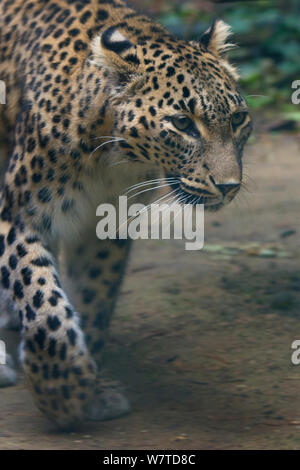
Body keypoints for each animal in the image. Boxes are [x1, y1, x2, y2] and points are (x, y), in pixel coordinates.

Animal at [0, 0, 253, 428]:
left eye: (238, 119)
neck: (108, 157)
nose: (229, 185)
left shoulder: (106, 224)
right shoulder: (18, 215)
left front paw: (90, 384)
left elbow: (94, 296)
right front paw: (60, 389)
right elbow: (41, 297)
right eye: (183, 123)